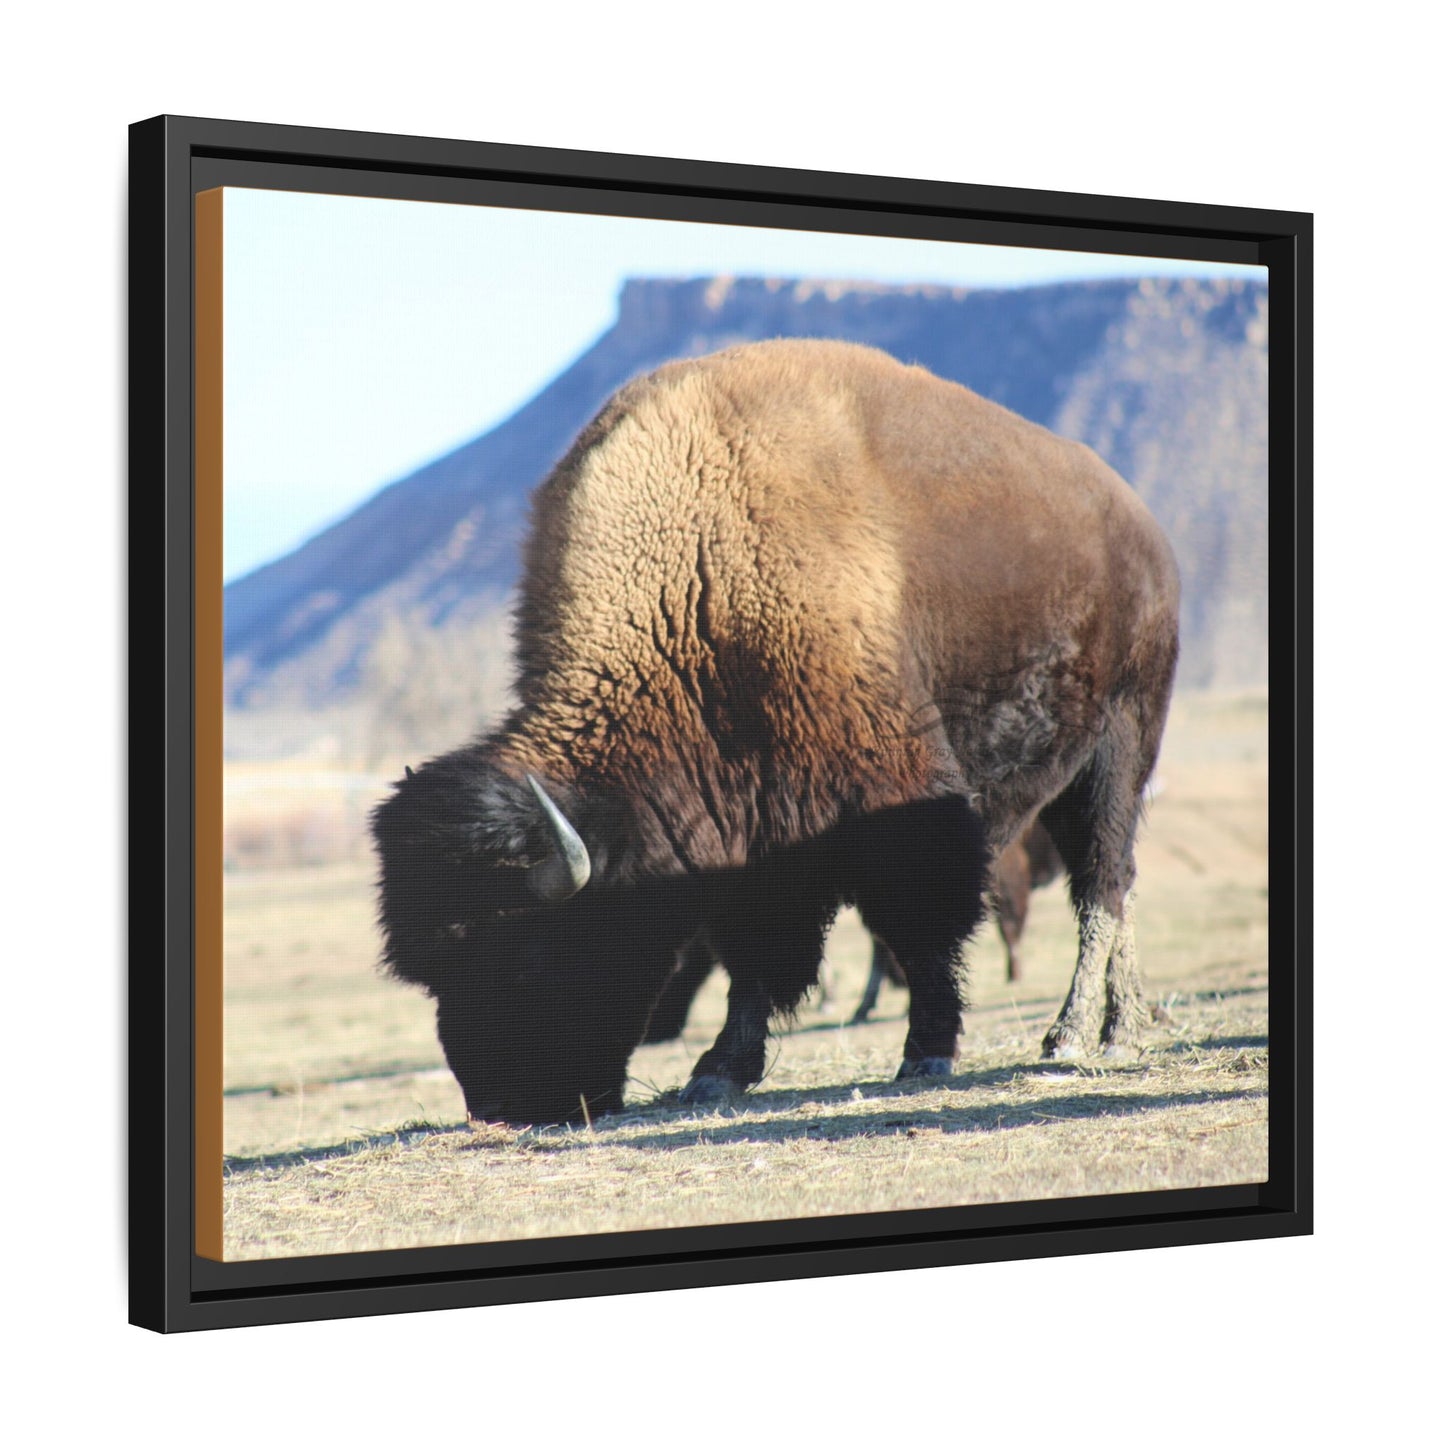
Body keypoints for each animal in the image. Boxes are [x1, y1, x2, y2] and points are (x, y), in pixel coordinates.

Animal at [372, 339, 1180, 1125]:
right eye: (433, 973)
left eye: (526, 951)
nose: (497, 1107)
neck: (696, 583)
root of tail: (1141, 527)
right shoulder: (750, 833)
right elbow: (754, 955)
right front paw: (719, 1071)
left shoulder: (896, 799)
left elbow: (918, 926)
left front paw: (926, 1051)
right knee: (1117, 884)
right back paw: (1121, 1024)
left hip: (1118, 748)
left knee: (1101, 884)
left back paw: (1077, 1034)